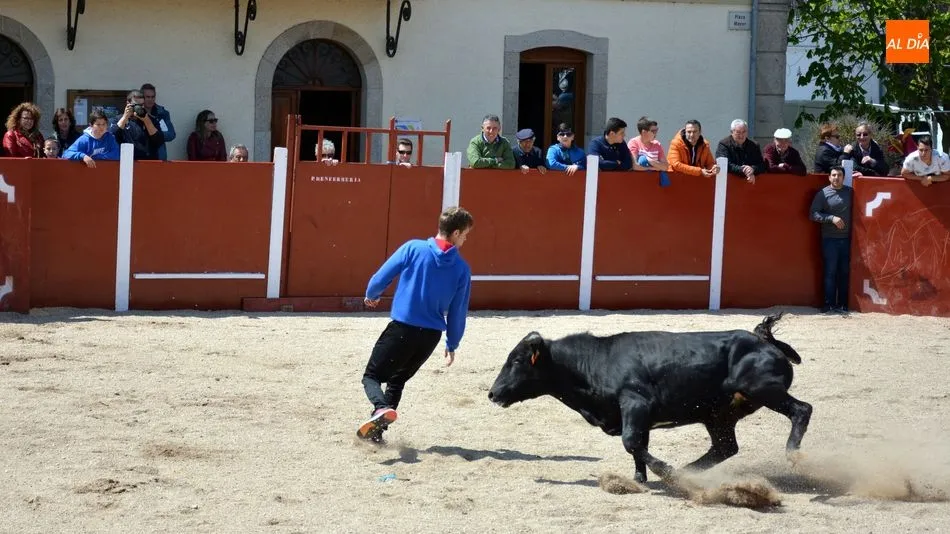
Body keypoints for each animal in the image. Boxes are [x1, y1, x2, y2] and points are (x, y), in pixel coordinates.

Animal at [487, 313, 812, 483]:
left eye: (517, 361)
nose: (492, 393)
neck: (595, 363)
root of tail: (763, 342)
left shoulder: (635, 404)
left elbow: (631, 442)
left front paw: (662, 470)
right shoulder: (637, 415)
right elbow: (637, 446)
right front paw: (640, 479)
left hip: (764, 390)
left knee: (802, 409)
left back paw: (794, 454)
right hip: (718, 415)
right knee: (725, 447)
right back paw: (687, 473)